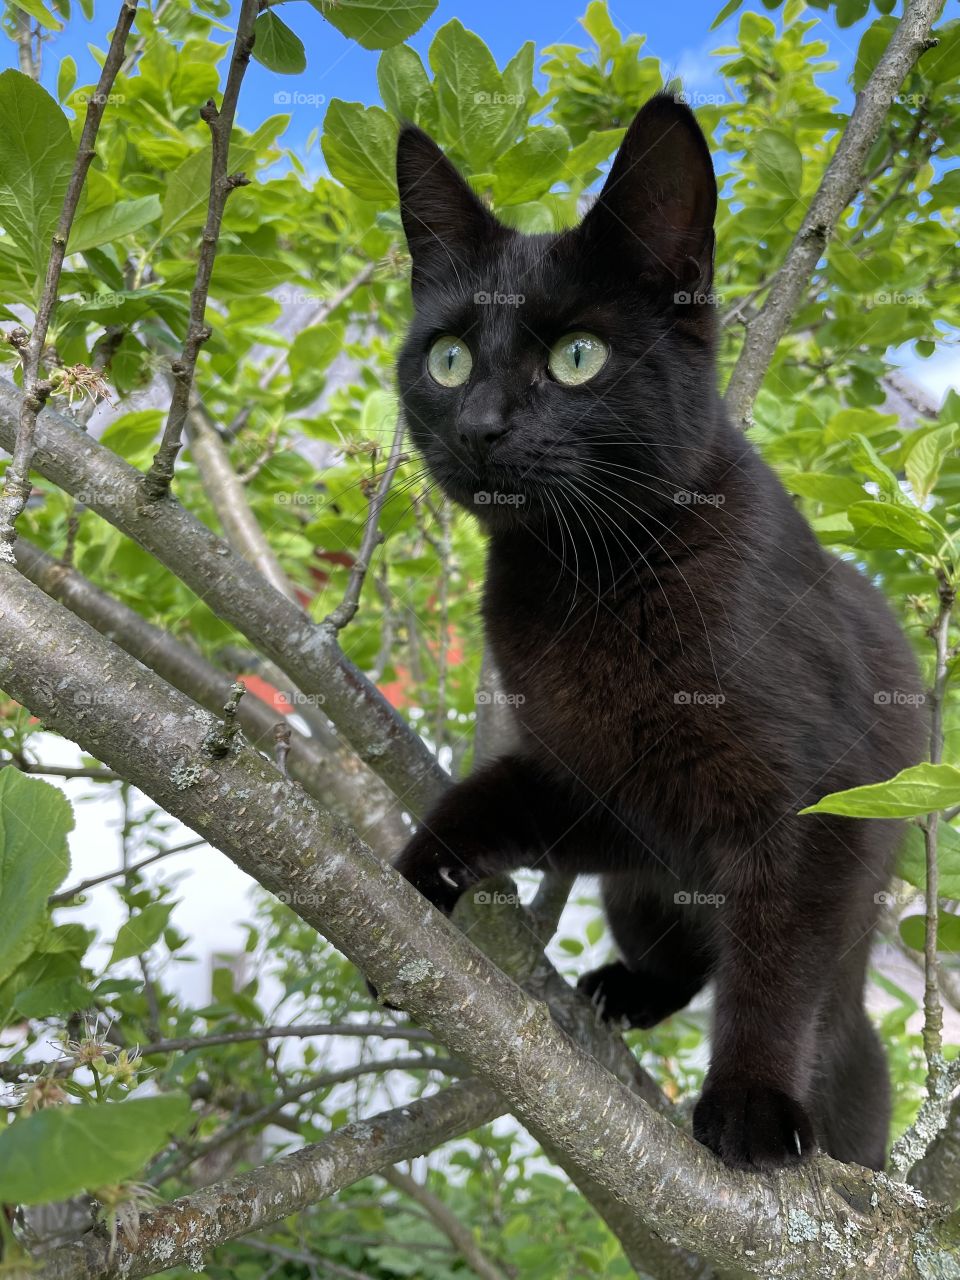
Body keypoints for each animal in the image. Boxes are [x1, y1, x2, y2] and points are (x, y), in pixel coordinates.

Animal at [386, 90, 926, 1172]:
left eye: (576, 358)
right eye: (448, 358)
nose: (480, 426)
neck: (589, 580)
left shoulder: (815, 806)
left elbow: (774, 965)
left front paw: (752, 1102)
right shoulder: (606, 786)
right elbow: (491, 795)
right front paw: (420, 873)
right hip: (639, 891)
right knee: (680, 951)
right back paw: (625, 988)